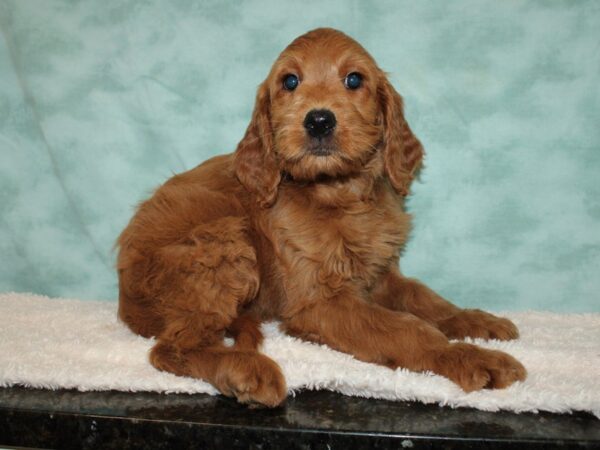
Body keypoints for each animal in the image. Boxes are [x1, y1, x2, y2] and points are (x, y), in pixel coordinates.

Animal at [117, 29, 524, 408]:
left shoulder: (380, 275)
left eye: (354, 80)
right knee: (169, 349)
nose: (318, 121)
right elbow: (408, 328)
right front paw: (467, 356)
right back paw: (244, 369)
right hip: (222, 242)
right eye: (289, 82)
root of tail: (126, 301)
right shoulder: (318, 303)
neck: (339, 196)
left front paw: (477, 322)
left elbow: (426, 300)